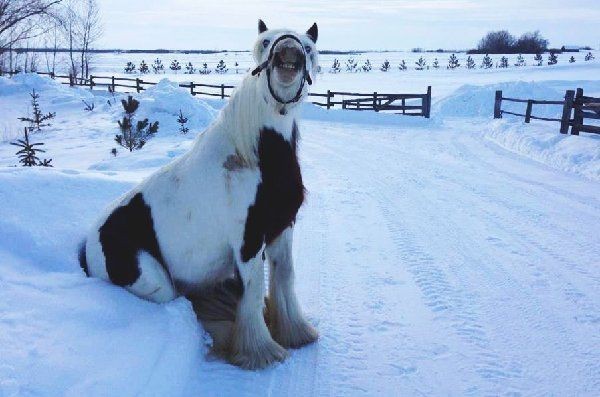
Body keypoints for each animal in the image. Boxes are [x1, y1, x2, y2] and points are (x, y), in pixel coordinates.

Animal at [79, 20, 318, 368]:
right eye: (264, 42)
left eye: (309, 47)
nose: (289, 54)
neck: (254, 157)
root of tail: (89, 244)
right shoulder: (247, 242)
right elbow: (254, 288)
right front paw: (259, 352)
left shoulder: (282, 229)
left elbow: (284, 278)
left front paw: (296, 333)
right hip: (158, 285)